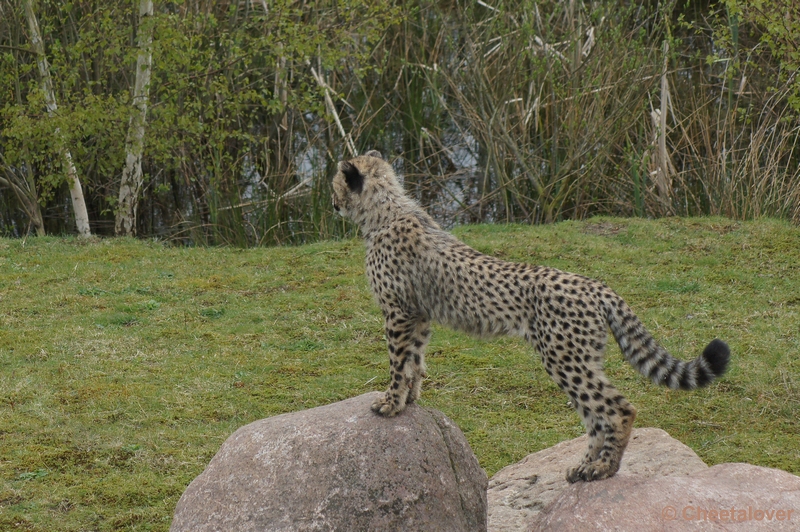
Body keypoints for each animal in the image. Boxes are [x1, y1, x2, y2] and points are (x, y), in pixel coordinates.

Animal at [328, 149, 728, 482]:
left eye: (334, 185)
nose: (331, 202)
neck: (386, 212)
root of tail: (595, 284)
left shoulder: (398, 313)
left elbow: (399, 362)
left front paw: (390, 403)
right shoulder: (420, 314)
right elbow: (415, 361)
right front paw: (409, 400)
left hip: (563, 357)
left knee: (617, 409)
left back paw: (602, 468)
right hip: (579, 357)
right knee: (594, 418)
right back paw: (584, 466)